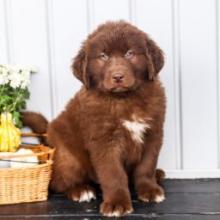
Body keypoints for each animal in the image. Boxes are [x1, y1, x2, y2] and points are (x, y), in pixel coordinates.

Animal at [23, 21, 166, 217]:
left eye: (130, 53)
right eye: (103, 56)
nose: (118, 76)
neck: (124, 99)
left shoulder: (153, 133)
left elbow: (147, 165)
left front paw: (150, 190)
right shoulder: (104, 140)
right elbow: (113, 173)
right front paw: (117, 203)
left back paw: (158, 174)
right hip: (67, 155)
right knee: (57, 182)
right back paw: (80, 190)